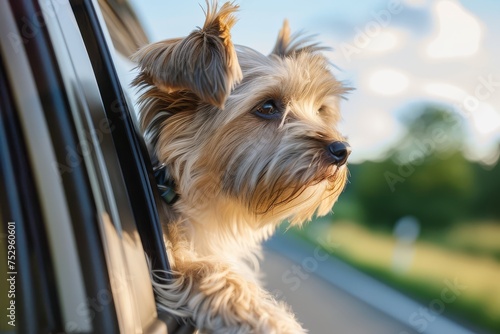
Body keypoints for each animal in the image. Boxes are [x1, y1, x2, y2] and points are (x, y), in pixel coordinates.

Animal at [133, 1, 352, 332]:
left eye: (319, 110)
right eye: (267, 107)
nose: (343, 150)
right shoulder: (174, 260)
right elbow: (214, 273)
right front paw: (275, 320)